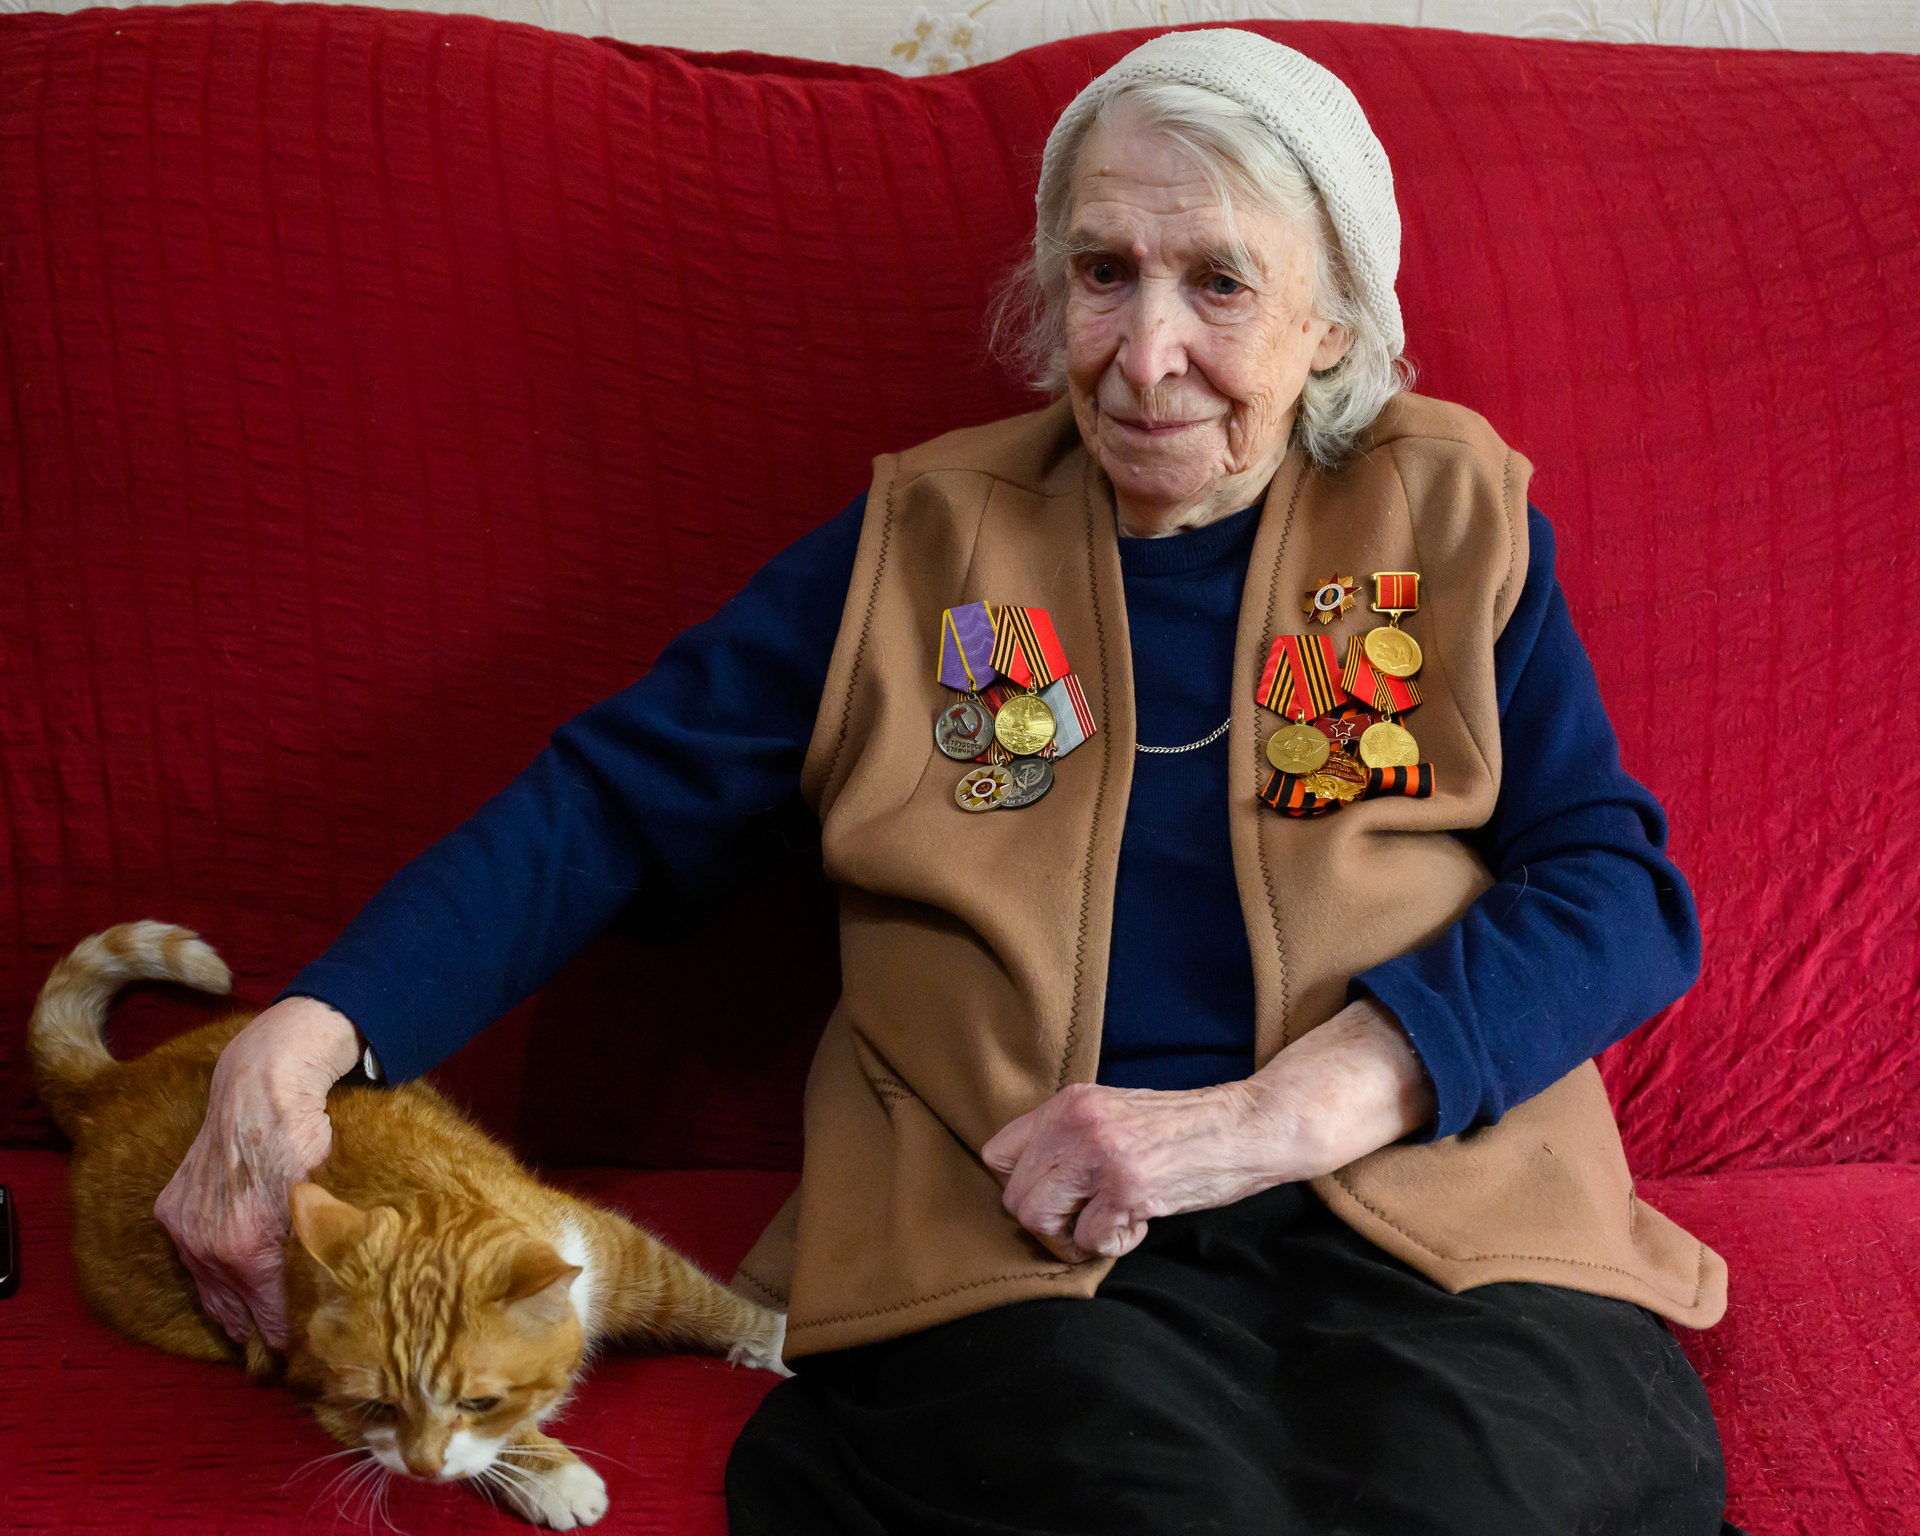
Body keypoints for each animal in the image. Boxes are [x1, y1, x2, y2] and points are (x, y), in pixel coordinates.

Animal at [28, 920, 791, 1531]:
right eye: (378, 1408)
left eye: (478, 1398)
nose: (421, 1470)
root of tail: (109, 1088)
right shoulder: (326, 1398)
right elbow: (487, 1451)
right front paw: (552, 1475)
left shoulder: (615, 1251)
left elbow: (702, 1298)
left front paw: (775, 1336)